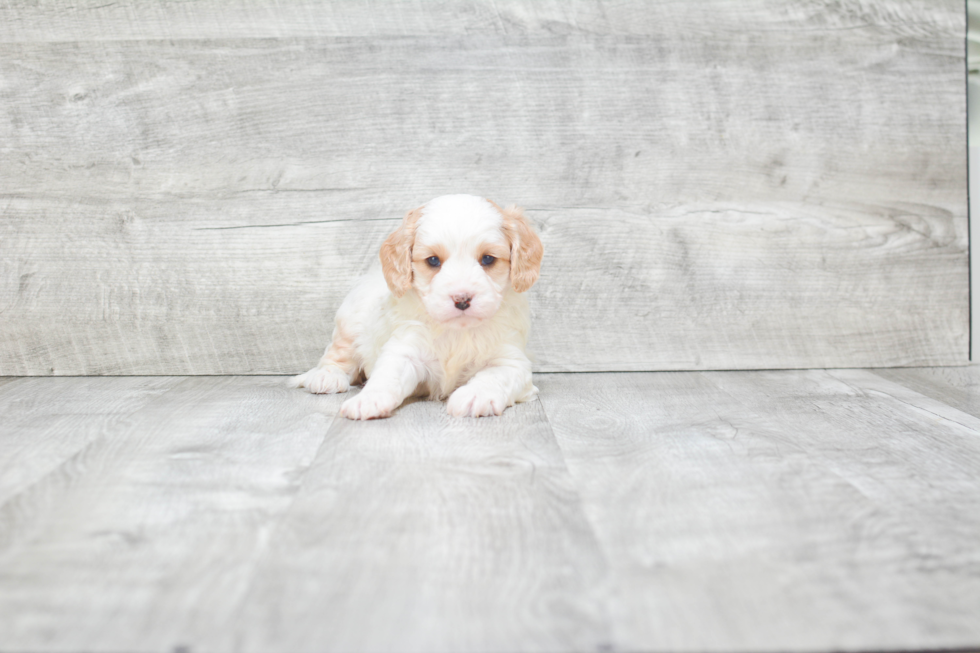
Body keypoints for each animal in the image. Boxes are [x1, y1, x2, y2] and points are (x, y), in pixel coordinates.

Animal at [290, 192, 544, 418]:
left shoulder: (511, 360)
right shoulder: (405, 349)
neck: (456, 331)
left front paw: (475, 396)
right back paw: (326, 377)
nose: (462, 299)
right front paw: (368, 399)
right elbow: (387, 376)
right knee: (337, 356)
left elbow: (494, 376)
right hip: (349, 326)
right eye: (433, 261)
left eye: (488, 259)